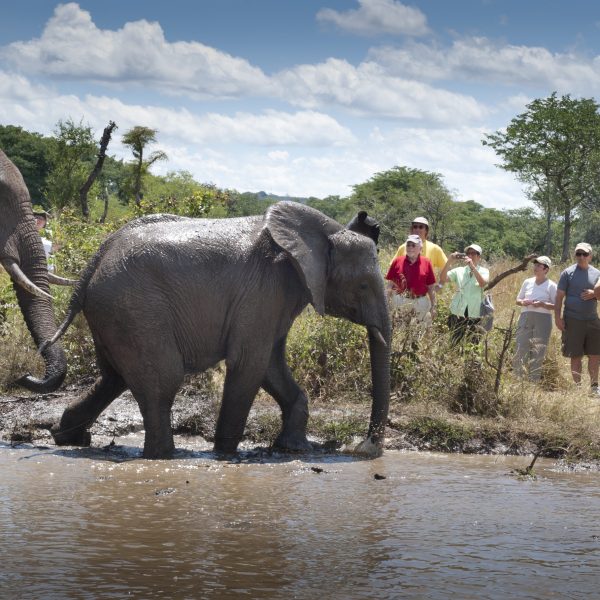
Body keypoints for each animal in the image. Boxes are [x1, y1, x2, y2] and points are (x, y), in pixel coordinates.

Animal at [48, 199, 394, 458]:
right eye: (363, 286)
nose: (363, 447)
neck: (326, 232)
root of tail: (95, 261)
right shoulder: (263, 288)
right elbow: (249, 362)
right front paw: (225, 454)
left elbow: (272, 365)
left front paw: (294, 448)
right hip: (135, 307)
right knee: (162, 379)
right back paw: (163, 456)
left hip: (115, 313)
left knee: (114, 377)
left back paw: (68, 437)